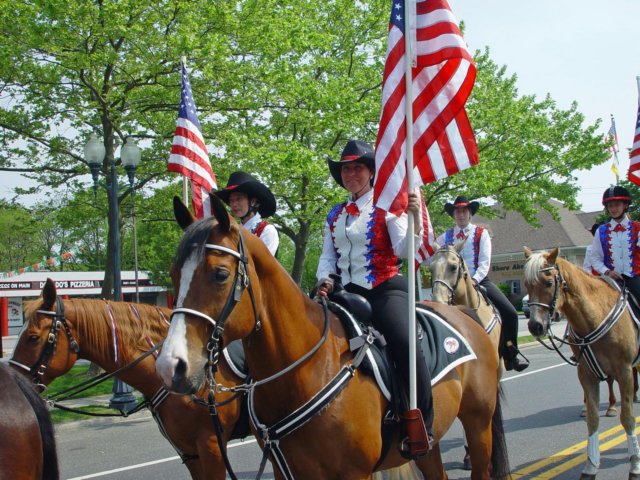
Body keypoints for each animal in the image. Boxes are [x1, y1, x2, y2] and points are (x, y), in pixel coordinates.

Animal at [155, 195, 510, 480]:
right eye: (174, 274)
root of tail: (463, 314)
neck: (305, 370)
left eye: (220, 274)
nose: (171, 366)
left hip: (478, 424)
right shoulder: (285, 470)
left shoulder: (355, 473)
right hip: (431, 446)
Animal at [524, 248, 640, 480]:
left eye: (548, 282)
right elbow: (593, 419)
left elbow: (628, 418)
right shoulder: (586, 374)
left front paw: (634, 465)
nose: (535, 326)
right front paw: (591, 466)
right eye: (525, 284)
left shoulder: (624, 372)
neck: (595, 317)